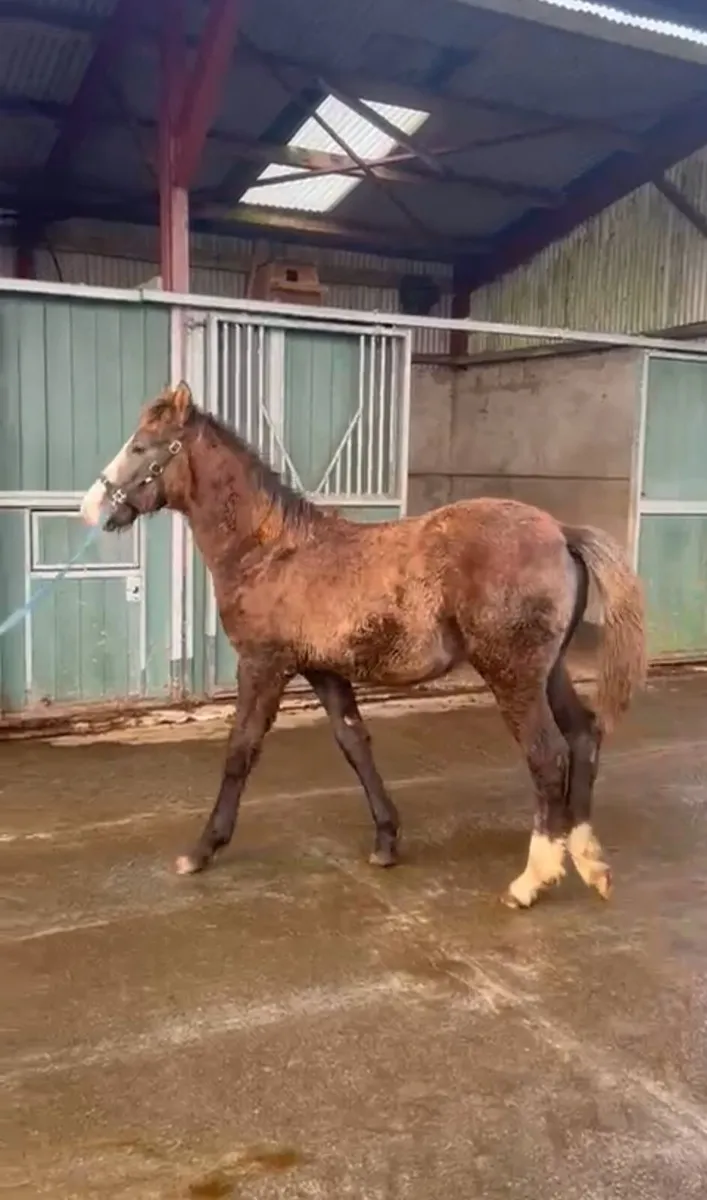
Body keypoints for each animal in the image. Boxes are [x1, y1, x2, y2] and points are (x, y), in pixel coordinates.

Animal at [80, 382, 646, 909]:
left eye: (141, 446)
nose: (91, 508)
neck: (270, 550)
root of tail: (561, 532)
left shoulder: (263, 665)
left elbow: (241, 751)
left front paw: (201, 851)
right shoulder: (324, 671)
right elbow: (354, 743)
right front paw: (387, 841)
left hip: (514, 676)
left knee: (548, 756)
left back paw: (530, 882)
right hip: (549, 671)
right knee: (584, 736)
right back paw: (589, 862)